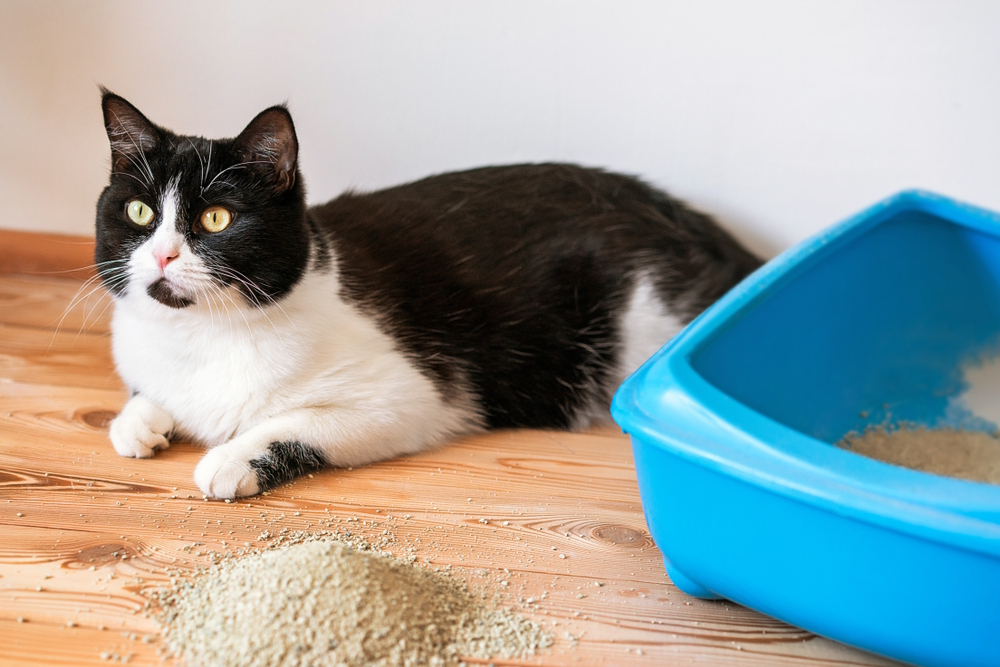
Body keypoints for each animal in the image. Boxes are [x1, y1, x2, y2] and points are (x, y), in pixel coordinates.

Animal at [95, 88, 764, 498]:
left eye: (216, 219)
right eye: (139, 211)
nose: (162, 253)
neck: (200, 337)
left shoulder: (407, 397)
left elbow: (292, 422)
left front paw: (230, 460)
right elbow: (145, 394)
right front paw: (138, 424)